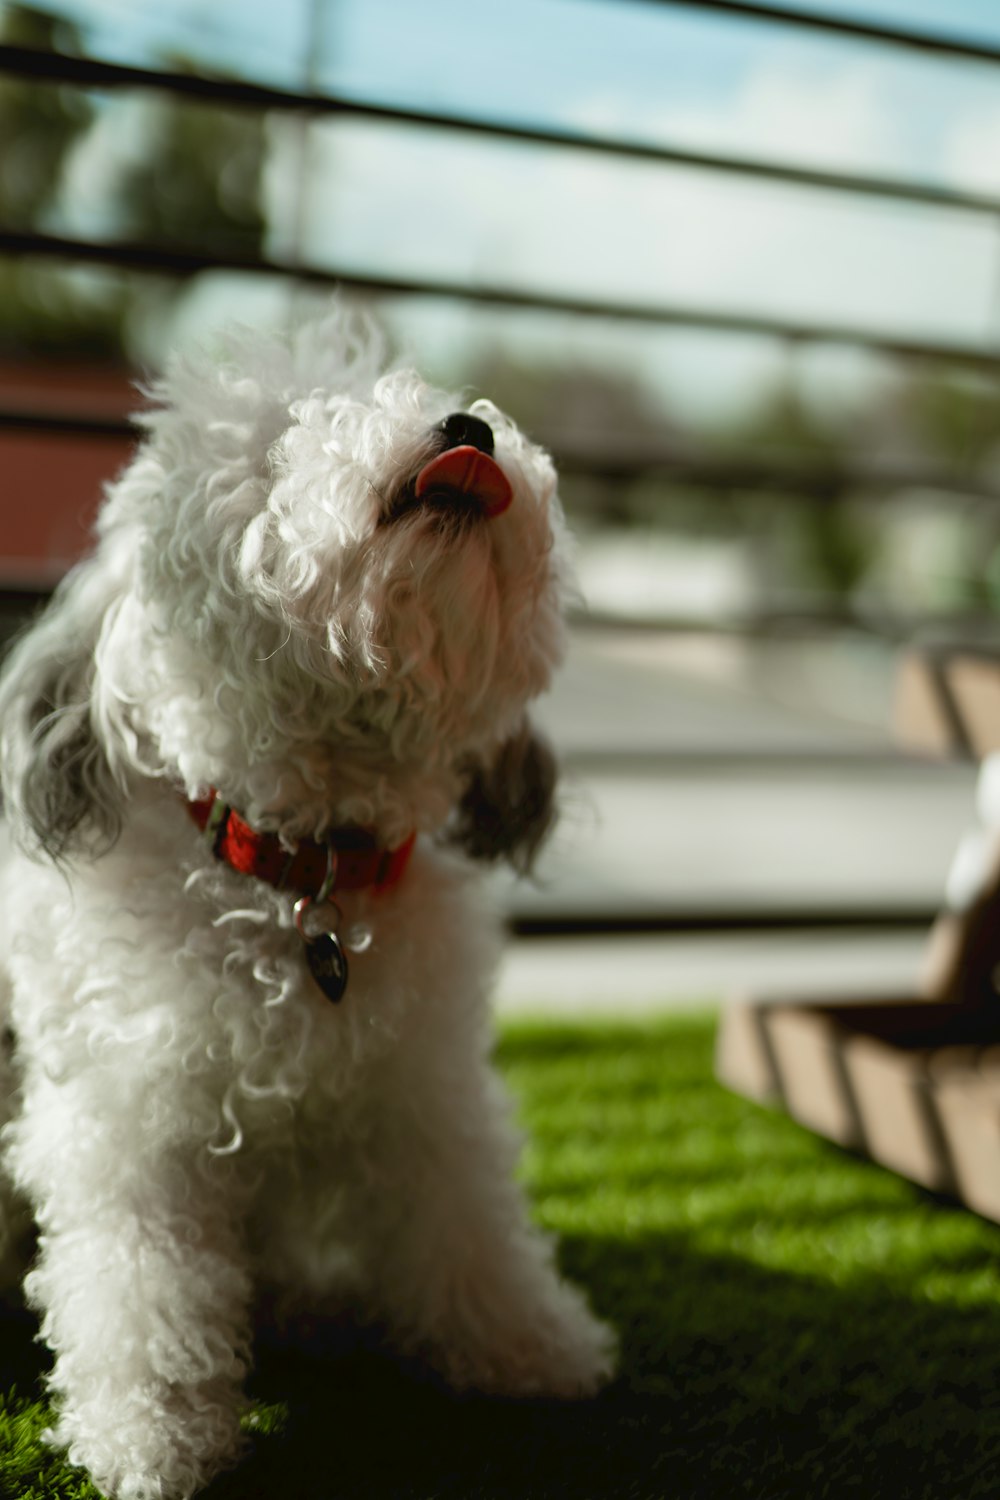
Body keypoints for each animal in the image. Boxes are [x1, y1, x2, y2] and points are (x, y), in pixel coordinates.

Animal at [0, 310, 617, 1494]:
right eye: (279, 436)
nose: (467, 426)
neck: (304, 880)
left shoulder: (423, 1088)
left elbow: (466, 1226)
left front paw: (530, 1343)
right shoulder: (128, 1123)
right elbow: (143, 1288)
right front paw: (150, 1439)